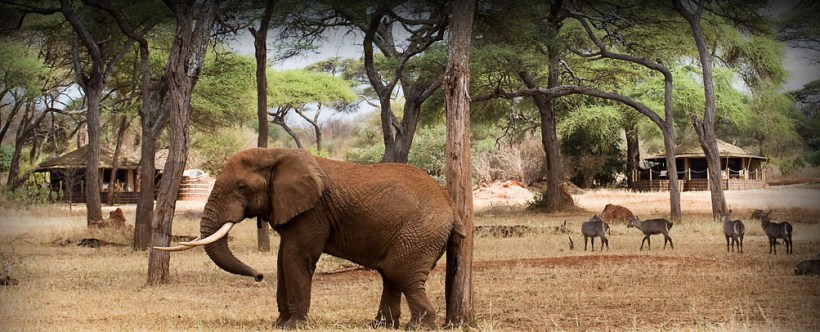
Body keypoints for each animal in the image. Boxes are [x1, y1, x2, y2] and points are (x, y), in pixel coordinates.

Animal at [154, 148, 462, 330]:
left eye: (241, 187)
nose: (258, 276)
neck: (275, 154)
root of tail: (451, 205)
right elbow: (282, 260)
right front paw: (279, 324)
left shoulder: (312, 212)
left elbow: (295, 258)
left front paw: (294, 326)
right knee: (392, 274)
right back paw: (380, 326)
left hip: (421, 231)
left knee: (401, 273)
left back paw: (418, 327)